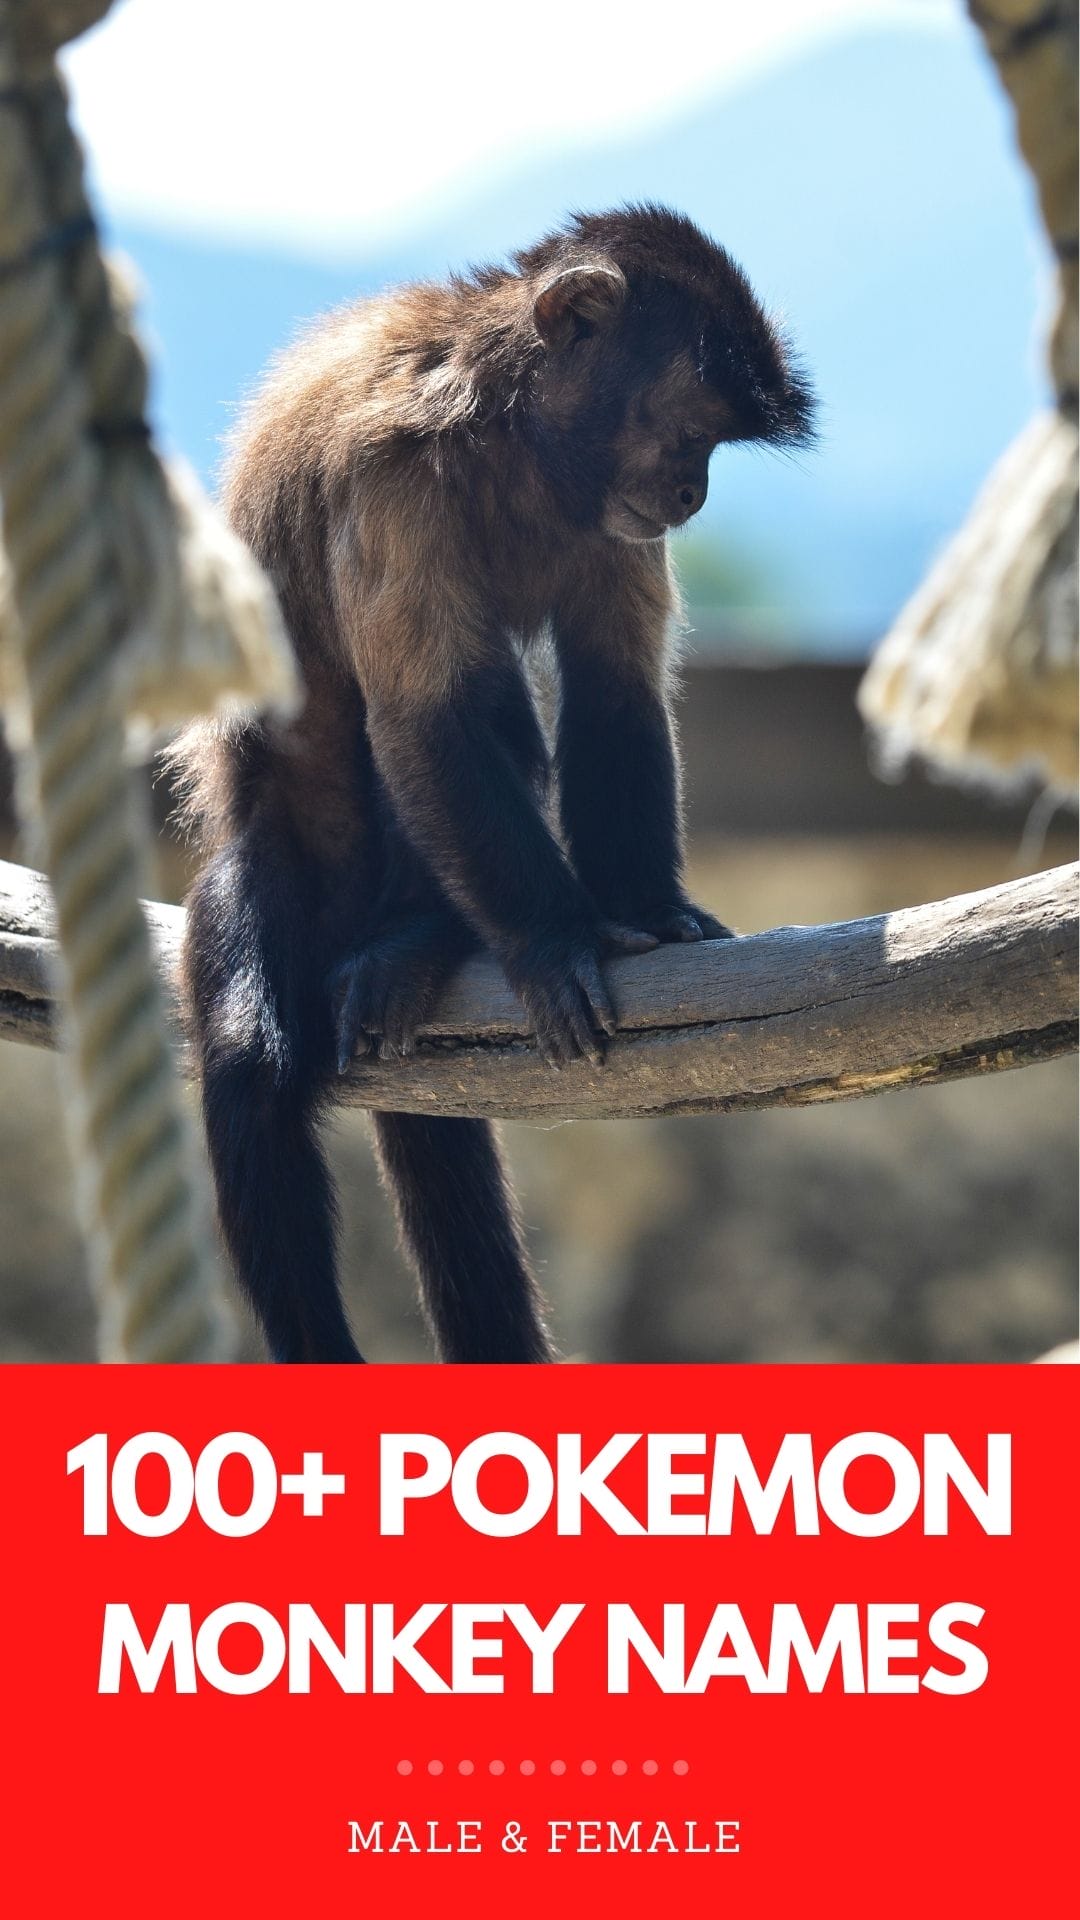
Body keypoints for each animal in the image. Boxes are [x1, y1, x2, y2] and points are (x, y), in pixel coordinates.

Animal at [169, 203, 814, 1365]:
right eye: (689, 429)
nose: (693, 493)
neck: (511, 443)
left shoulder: (611, 513)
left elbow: (610, 690)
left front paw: (647, 907)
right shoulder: (388, 473)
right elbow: (426, 717)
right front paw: (556, 942)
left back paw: (418, 937)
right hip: (288, 861)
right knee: (249, 1060)